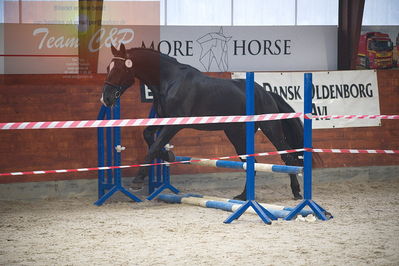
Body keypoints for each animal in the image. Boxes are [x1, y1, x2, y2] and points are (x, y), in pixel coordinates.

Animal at [101, 43, 314, 200]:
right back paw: (243, 197)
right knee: (250, 163)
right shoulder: (162, 120)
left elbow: (153, 147)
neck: (170, 82)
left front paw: (138, 180)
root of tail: (266, 93)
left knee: (288, 158)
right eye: (108, 68)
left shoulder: (174, 125)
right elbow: (148, 136)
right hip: (237, 134)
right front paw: (168, 155)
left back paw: (296, 193)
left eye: (118, 68)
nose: (106, 99)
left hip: (270, 129)